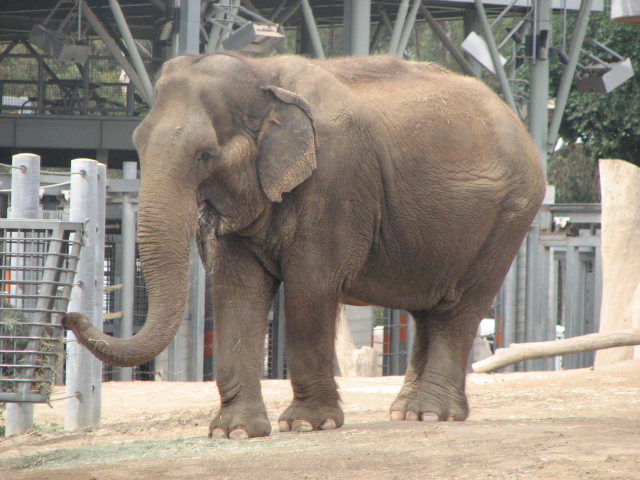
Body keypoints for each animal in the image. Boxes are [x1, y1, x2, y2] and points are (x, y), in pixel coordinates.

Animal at [63, 52, 546, 439]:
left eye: (205, 155)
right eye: (137, 145)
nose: (70, 316)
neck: (261, 74)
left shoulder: (334, 182)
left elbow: (310, 286)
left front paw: (308, 424)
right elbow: (236, 291)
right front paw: (234, 432)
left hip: (509, 215)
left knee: (459, 307)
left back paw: (429, 414)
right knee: (430, 309)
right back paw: (408, 413)